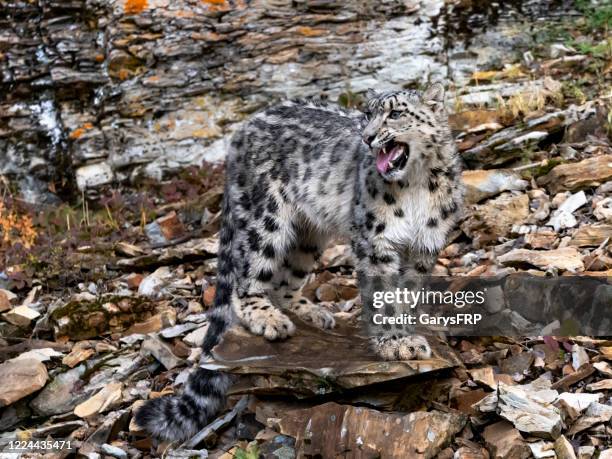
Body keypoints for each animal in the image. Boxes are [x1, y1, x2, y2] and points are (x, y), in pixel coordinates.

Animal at [136, 82, 464, 442]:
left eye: (394, 113)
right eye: (368, 114)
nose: (367, 137)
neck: (417, 184)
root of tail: (244, 127)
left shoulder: (424, 247)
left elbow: (409, 293)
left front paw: (409, 331)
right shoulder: (375, 240)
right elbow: (383, 297)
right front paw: (395, 343)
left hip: (308, 237)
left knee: (284, 282)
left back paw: (313, 313)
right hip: (265, 217)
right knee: (245, 277)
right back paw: (269, 320)